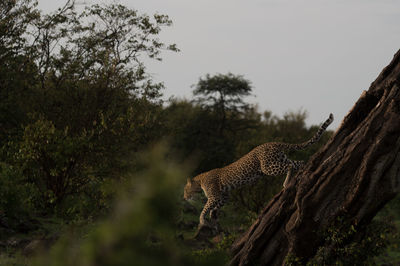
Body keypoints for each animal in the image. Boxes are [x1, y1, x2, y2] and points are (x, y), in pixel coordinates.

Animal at [184, 113, 334, 228]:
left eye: (185, 190)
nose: (184, 198)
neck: (200, 181)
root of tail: (274, 142)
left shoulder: (214, 196)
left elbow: (204, 208)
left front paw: (202, 220)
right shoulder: (224, 195)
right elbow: (217, 206)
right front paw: (213, 215)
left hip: (268, 167)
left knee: (290, 166)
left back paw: (286, 183)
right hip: (280, 159)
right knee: (298, 162)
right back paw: (304, 170)